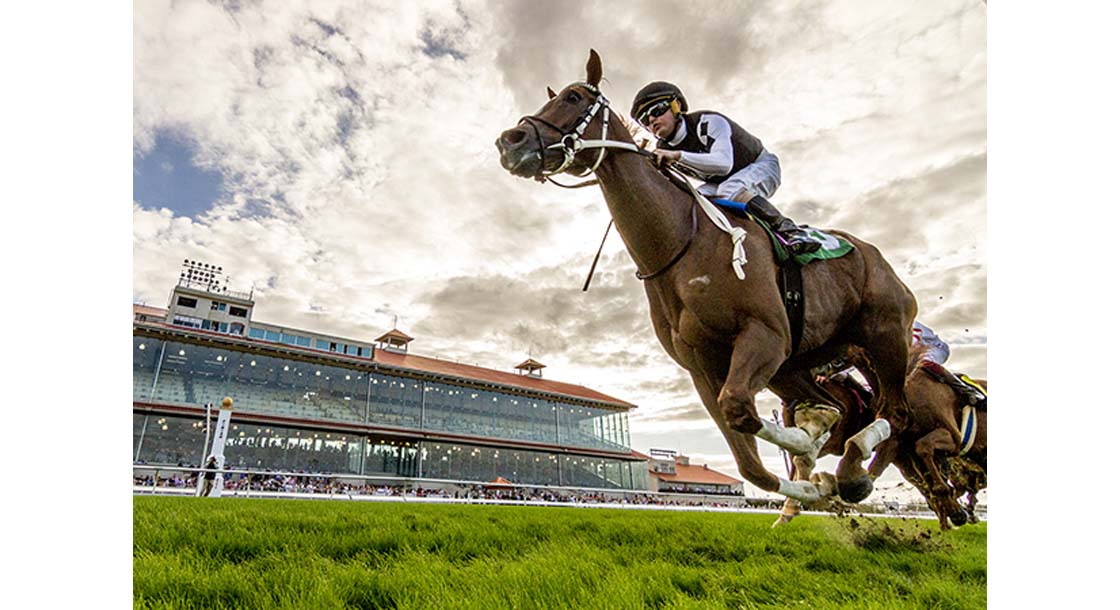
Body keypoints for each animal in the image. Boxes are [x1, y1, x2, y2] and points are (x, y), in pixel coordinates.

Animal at [495, 48, 913, 503]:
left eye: (573, 98)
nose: (510, 141)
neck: (682, 244)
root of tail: (875, 256)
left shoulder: (764, 334)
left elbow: (740, 410)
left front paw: (814, 456)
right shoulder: (702, 366)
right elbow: (750, 459)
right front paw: (810, 472)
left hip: (883, 338)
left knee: (896, 414)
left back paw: (854, 470)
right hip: (796, 364)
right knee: (844, 407)